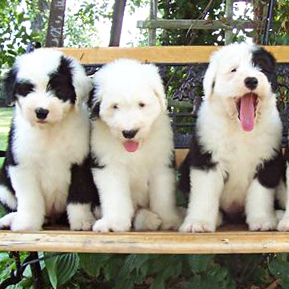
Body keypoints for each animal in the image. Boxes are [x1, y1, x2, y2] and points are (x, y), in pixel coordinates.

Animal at [0, 48, 99, 231]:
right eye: (28, 89)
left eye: (57, 89)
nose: (41, 111)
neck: (50, 131)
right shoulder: (22, 164)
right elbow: (30, 199)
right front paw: (27, 224)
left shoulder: (80, 161)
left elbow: (79, 194)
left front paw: (82, 221)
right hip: (3, 185)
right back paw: (11, 219)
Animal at [89, 58, 181, 232]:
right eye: (115, 106)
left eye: (141, 104)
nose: (129, 132)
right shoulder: (110, 165)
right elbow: (115, 195)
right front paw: (114, 222)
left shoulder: (161, 163)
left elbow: (163, 195)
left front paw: (170, 220)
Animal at [178, 42, 284, 232]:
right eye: (234, 70)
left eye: (261, 67)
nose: (251, 80)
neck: (240, 130)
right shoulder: (207, 159)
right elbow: (204, 194)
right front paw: (198, 223)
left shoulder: (268, 160)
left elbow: (261, 193)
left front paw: (262, 221)